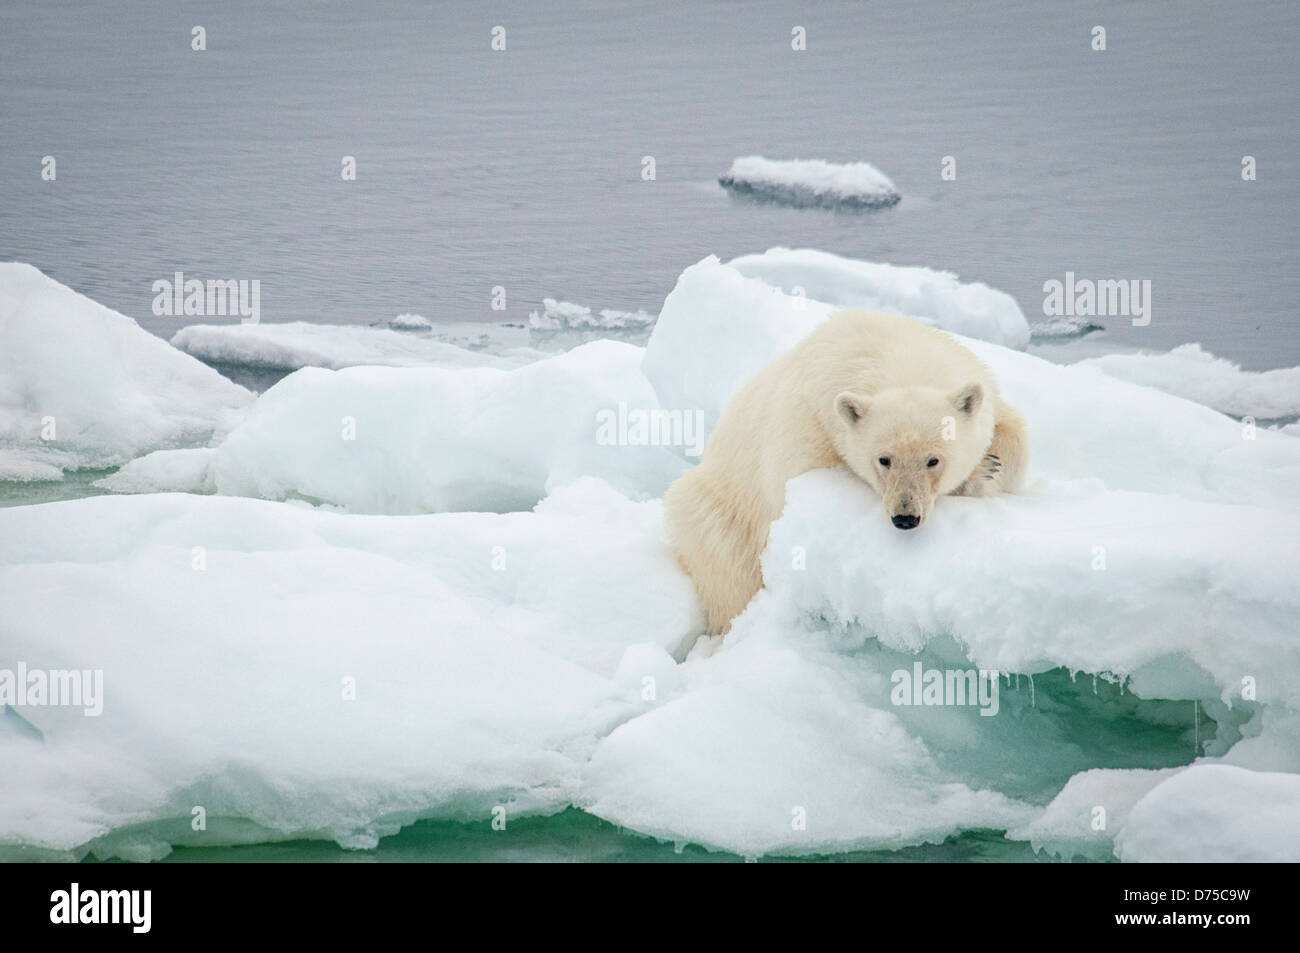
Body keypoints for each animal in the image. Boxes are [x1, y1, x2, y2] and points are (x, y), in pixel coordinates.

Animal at [665, 310, 1029, 631]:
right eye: (884, 459)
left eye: (933, 460)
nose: (905, 517)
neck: (893, 354)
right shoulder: (806, 426)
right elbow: (798, 480)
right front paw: (982, 472)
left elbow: (1013, 435)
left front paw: (988, 467)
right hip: (720, 515)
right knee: (730, 575)